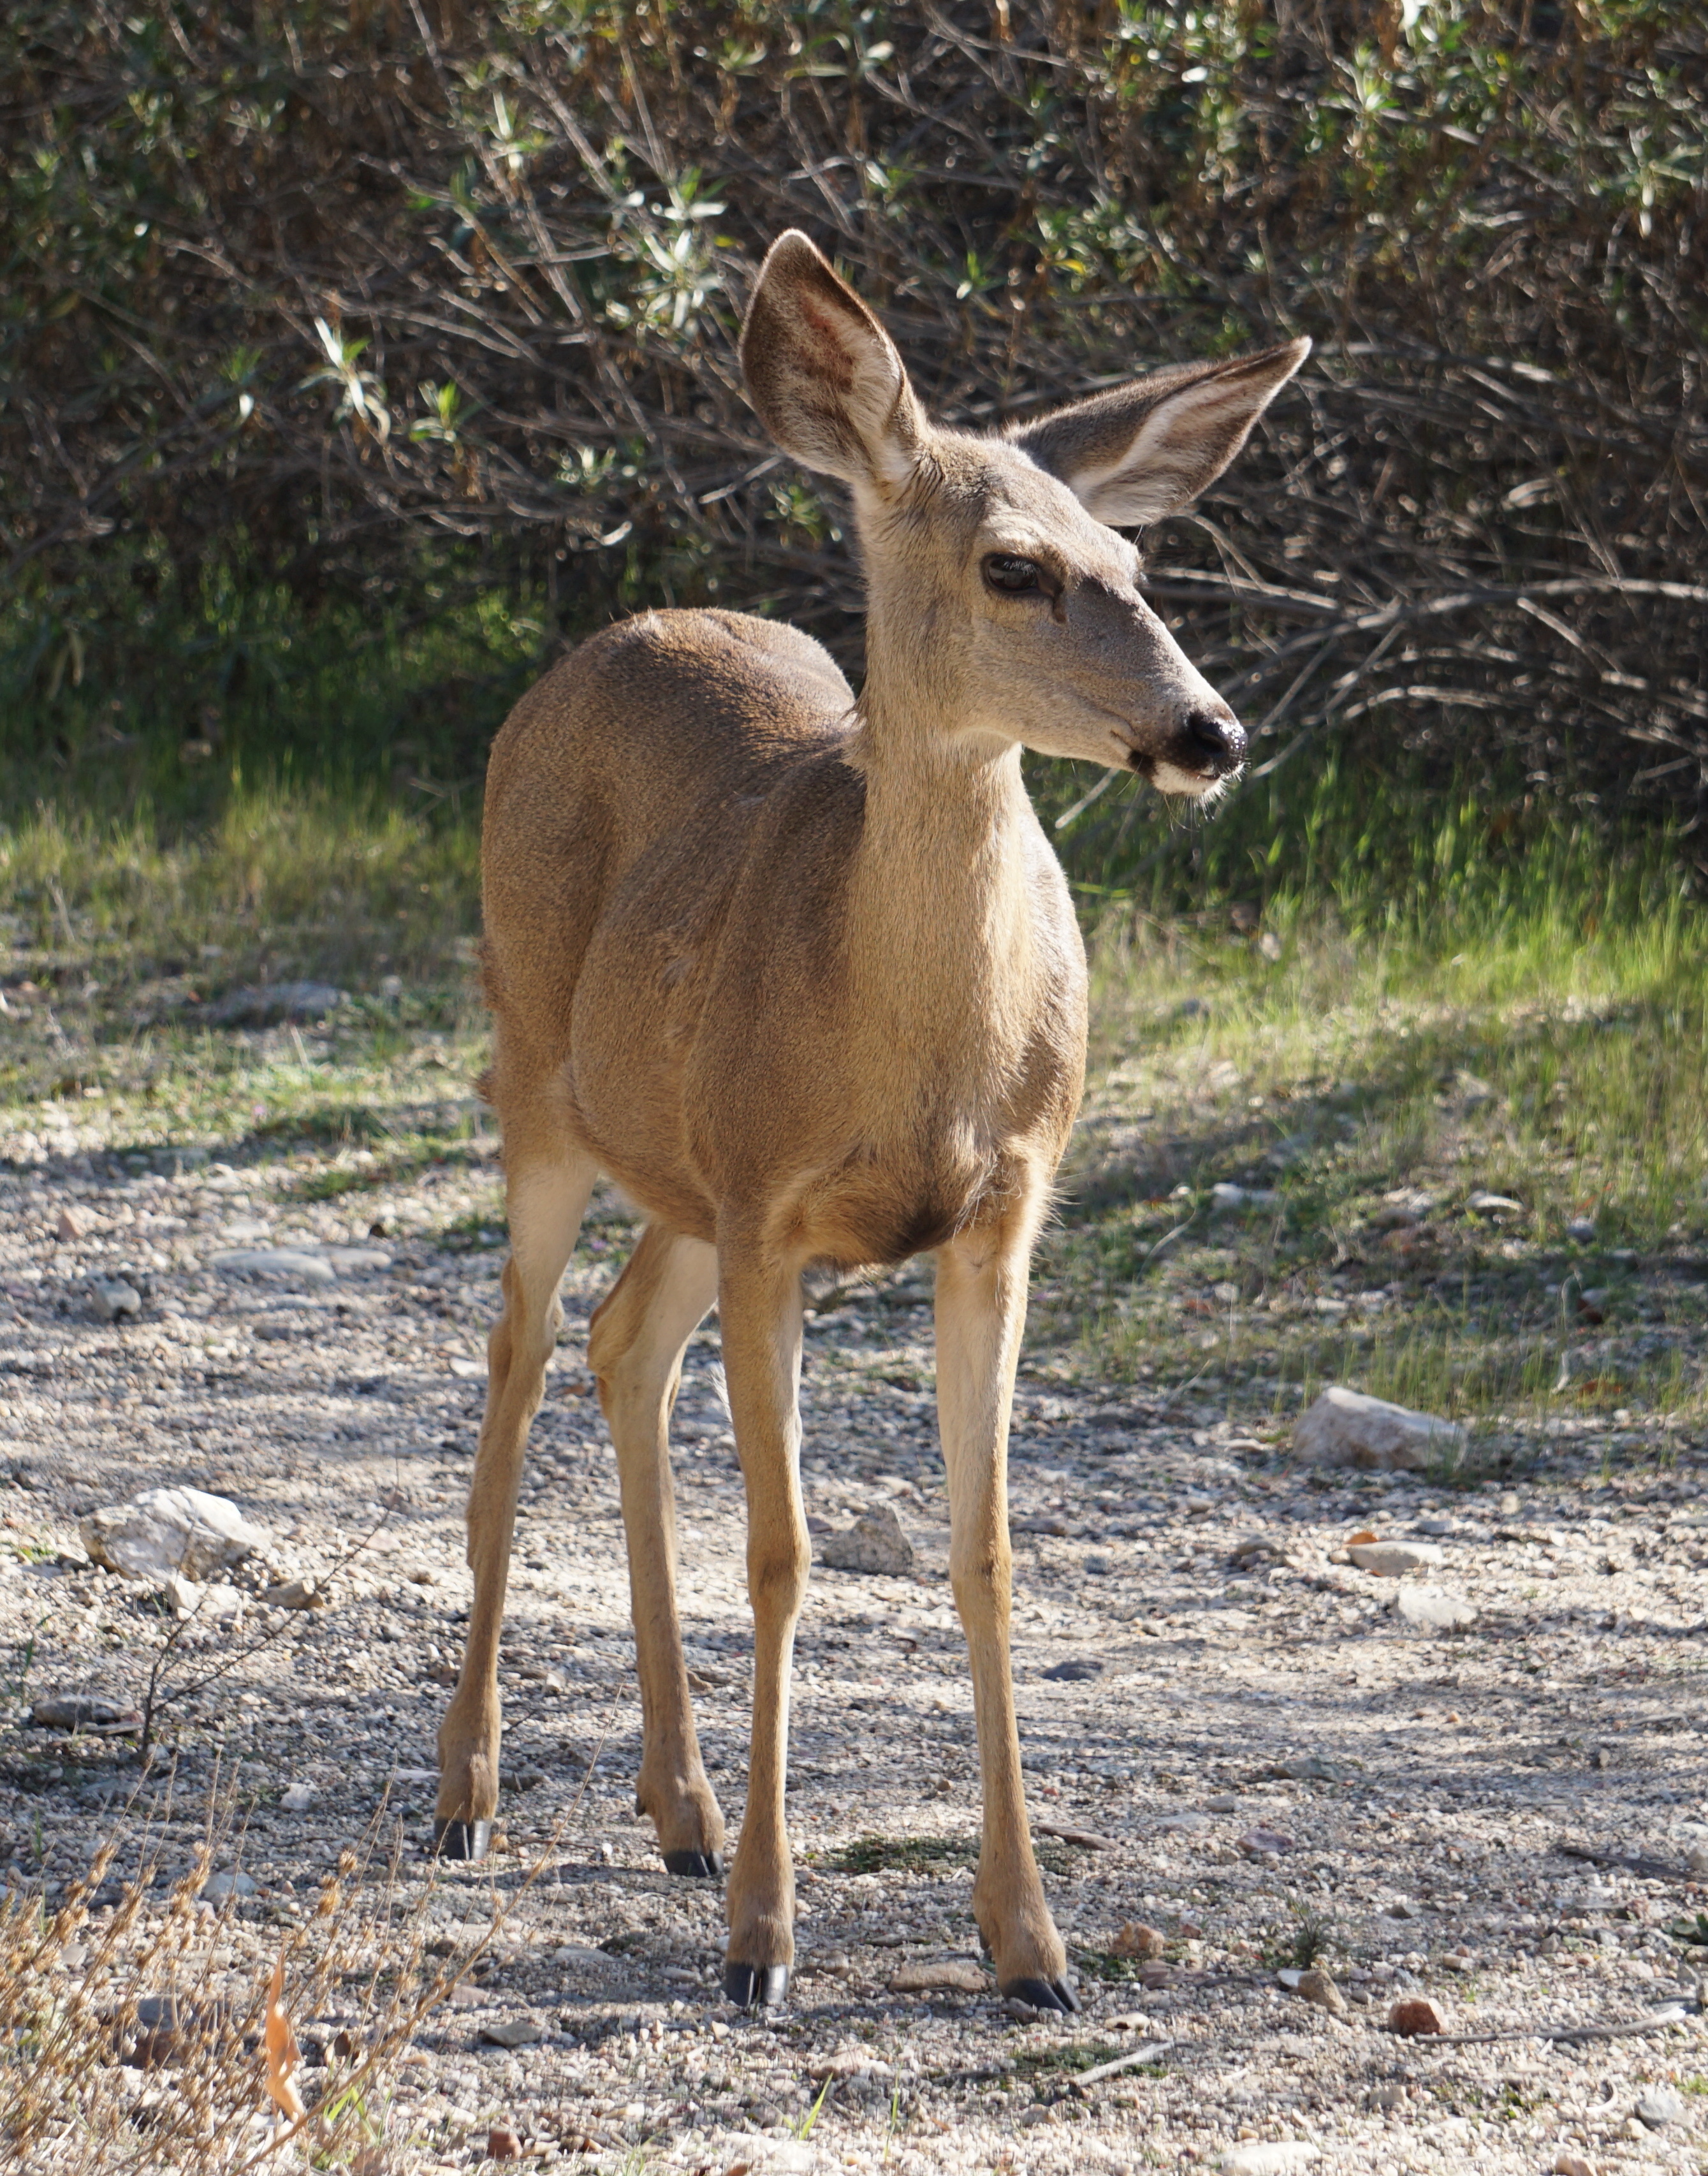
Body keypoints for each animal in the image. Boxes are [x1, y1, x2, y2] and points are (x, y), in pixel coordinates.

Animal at [433, 230, 1308, 2012]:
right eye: (1012, 566)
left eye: (1134, 553)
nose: (1210, 731)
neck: (910, 1047)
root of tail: (611, 633)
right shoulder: (772, 1211)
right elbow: (781, 1553)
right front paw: (764, 1939)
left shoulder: (998, 1216)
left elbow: (985, 1555)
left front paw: (1030, 1942)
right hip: (538, 1079)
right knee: (518, 1359)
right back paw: (467, 1792)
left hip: (679, 1170)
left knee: (623, 1341)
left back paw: (680, 1806)